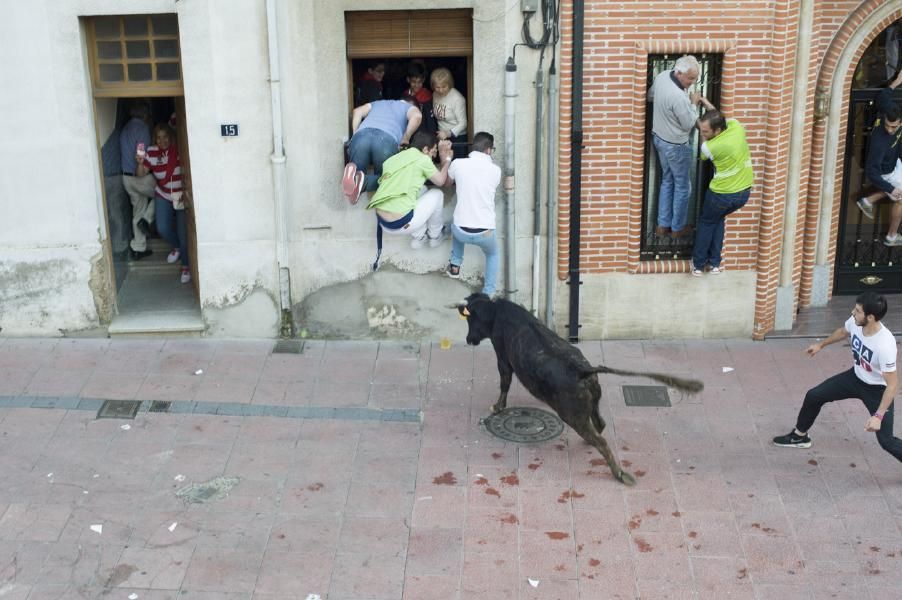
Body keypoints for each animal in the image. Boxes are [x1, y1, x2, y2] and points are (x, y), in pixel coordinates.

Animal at [460, 292, 708, 486]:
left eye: (470, 322)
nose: (469, 339)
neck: (495, 313)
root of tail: (583, 370)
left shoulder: (502, 357)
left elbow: (504, 383)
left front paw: (497, 407)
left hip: (572, 415)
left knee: (602, 440)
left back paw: (619, 474)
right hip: (591, 404)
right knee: (600, 425)